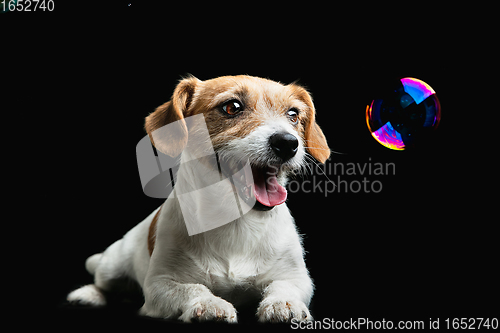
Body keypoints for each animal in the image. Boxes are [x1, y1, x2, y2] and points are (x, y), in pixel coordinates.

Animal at [67, 74, 332, 322]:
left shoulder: (296, 277)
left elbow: (284, 287)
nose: (287, 143)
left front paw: (282, 303)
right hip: (112, 265)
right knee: (103, 282)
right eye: (232, 107)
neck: (236, 222)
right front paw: (210, 303)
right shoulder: (160, 284)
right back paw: (87, 294)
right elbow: (193, 288)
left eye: (293, 114)